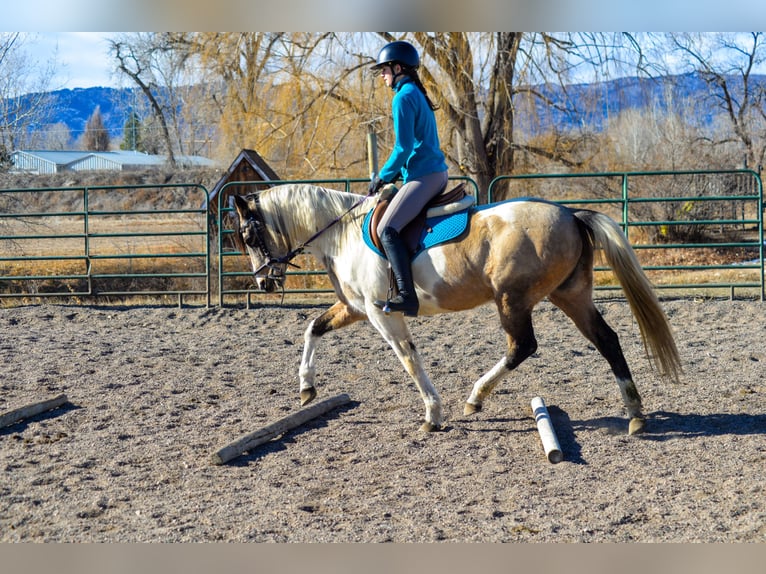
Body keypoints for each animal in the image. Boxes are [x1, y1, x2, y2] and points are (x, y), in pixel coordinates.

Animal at [234, 184, 684, 436]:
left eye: (249, 235)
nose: (263, 282)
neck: (341, 233)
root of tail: (571, 215)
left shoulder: (382, 313)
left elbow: (408, 359)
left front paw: (432, 415)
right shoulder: (356, 308)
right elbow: (313, 328)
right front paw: (306, 387)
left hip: (512, 299)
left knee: (522, 346)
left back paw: (475, 396)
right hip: (570, 295)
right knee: (607, 340)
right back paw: (635, 413)